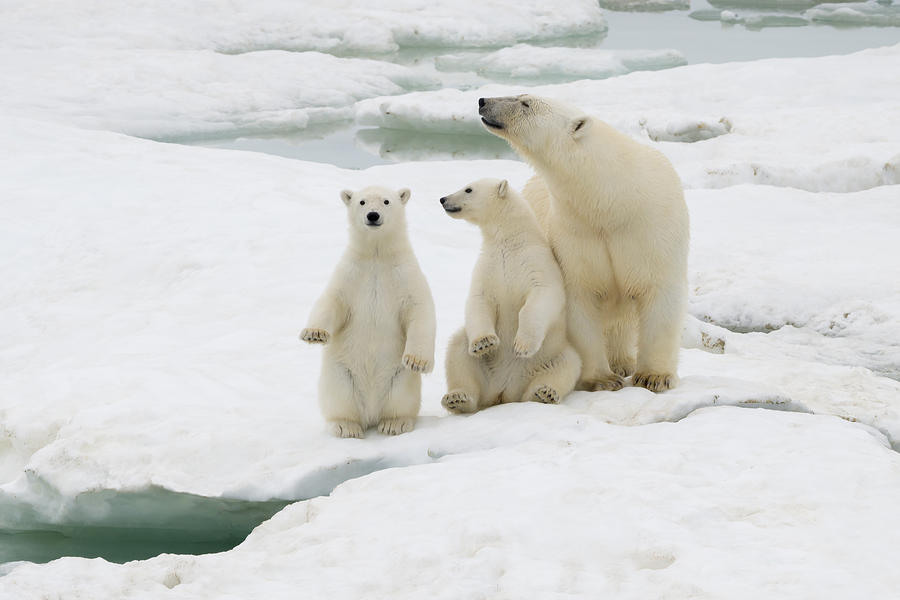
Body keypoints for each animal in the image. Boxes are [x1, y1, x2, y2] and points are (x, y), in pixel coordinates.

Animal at [300, 185, 438, 438]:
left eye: (386, 201)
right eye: (362, 202)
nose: (373, 215)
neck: (377, 254)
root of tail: (371, 412)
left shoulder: (405, 274)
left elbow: (420, 309)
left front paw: (417, 361)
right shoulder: (351, 273)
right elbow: (331, 300)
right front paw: (314, 333)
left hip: (398, 377)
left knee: (401, 397)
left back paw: (394, 424)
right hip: (341, 373)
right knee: (339, 397)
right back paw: (346, 426)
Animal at [440, 178, 580, 412]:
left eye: (468, 189)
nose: (443, 199)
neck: (510, 241)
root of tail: (504, 392)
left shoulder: (536, 263)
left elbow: (541, 297)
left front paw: (521, 346)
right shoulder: (489, 266)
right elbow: (479, 300)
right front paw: (484, 343)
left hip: (550, 354)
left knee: (567, 365)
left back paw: (544, 393)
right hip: (484, 372)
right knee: (459, 351)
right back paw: (458, 398)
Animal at [482, 94, 684, 394]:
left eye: (525, 102)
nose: (483, 101)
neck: (613, 200)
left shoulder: (652, 228)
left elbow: (658, 292)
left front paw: (654, 377)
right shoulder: (576, 234)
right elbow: (581, 299)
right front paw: (602, 379)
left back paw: (624, 362)